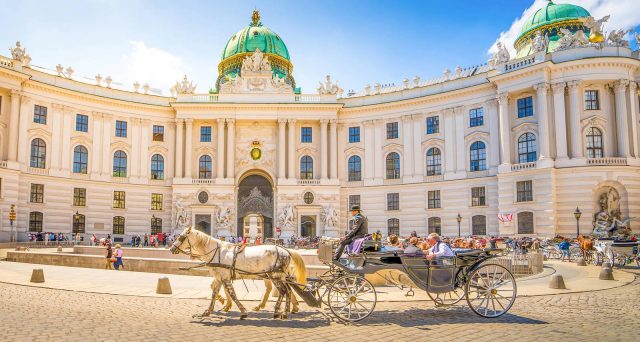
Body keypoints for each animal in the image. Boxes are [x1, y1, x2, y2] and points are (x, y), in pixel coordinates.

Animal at [170, 227, 304, 318]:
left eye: (180, 237)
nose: (171, 248)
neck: (217, 252)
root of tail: (285, 250)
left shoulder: (225, 277)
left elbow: (232, 294)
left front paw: (243, 311)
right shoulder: (219, 278)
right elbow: (214, 293)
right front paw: (208, 311)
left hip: (274, 276)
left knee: (283, 291)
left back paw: (281, 311)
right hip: (278, 276)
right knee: (288, 290)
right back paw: (284, 310)